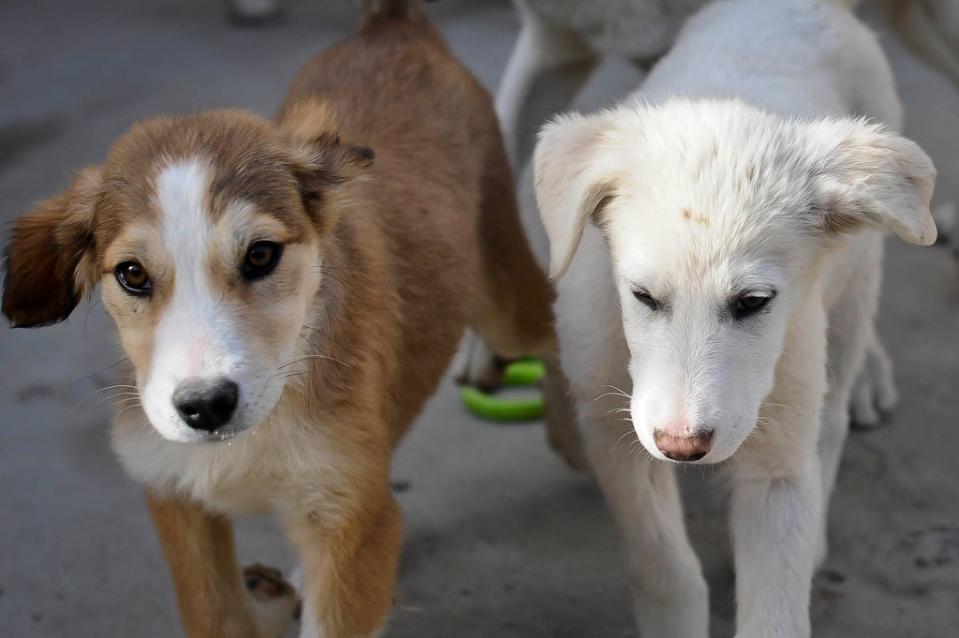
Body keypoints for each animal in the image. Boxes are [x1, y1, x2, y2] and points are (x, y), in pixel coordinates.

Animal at [536, 2, 940, 636]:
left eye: (752, 302)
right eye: (641, 295)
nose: (682, 446)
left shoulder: (776, 463)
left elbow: (776, 608)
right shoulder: (613, 434)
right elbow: (664, 568)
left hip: (851, 296)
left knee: (831, 421)